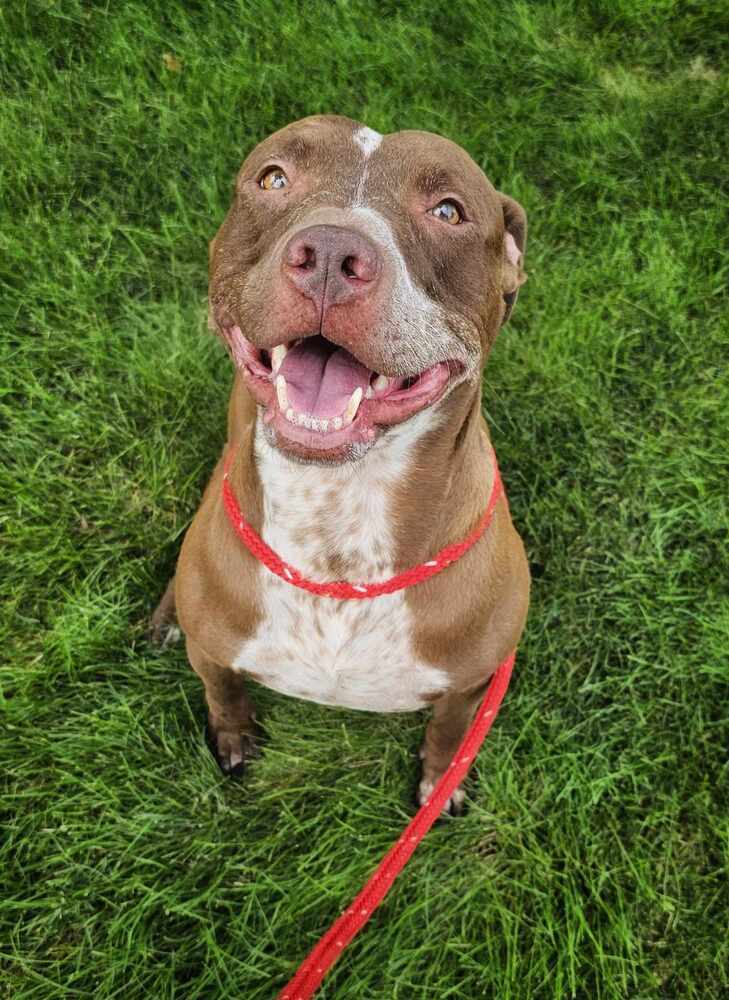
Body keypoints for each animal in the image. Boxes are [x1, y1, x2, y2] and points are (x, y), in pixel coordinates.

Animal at [152, 115, 528, 812]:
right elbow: (223, 690)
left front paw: (441, 780)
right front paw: (233, 735)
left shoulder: (471, 683)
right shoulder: (214, 656)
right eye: (274, 178)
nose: (329, 252)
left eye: (449, 210)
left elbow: (450, 729)